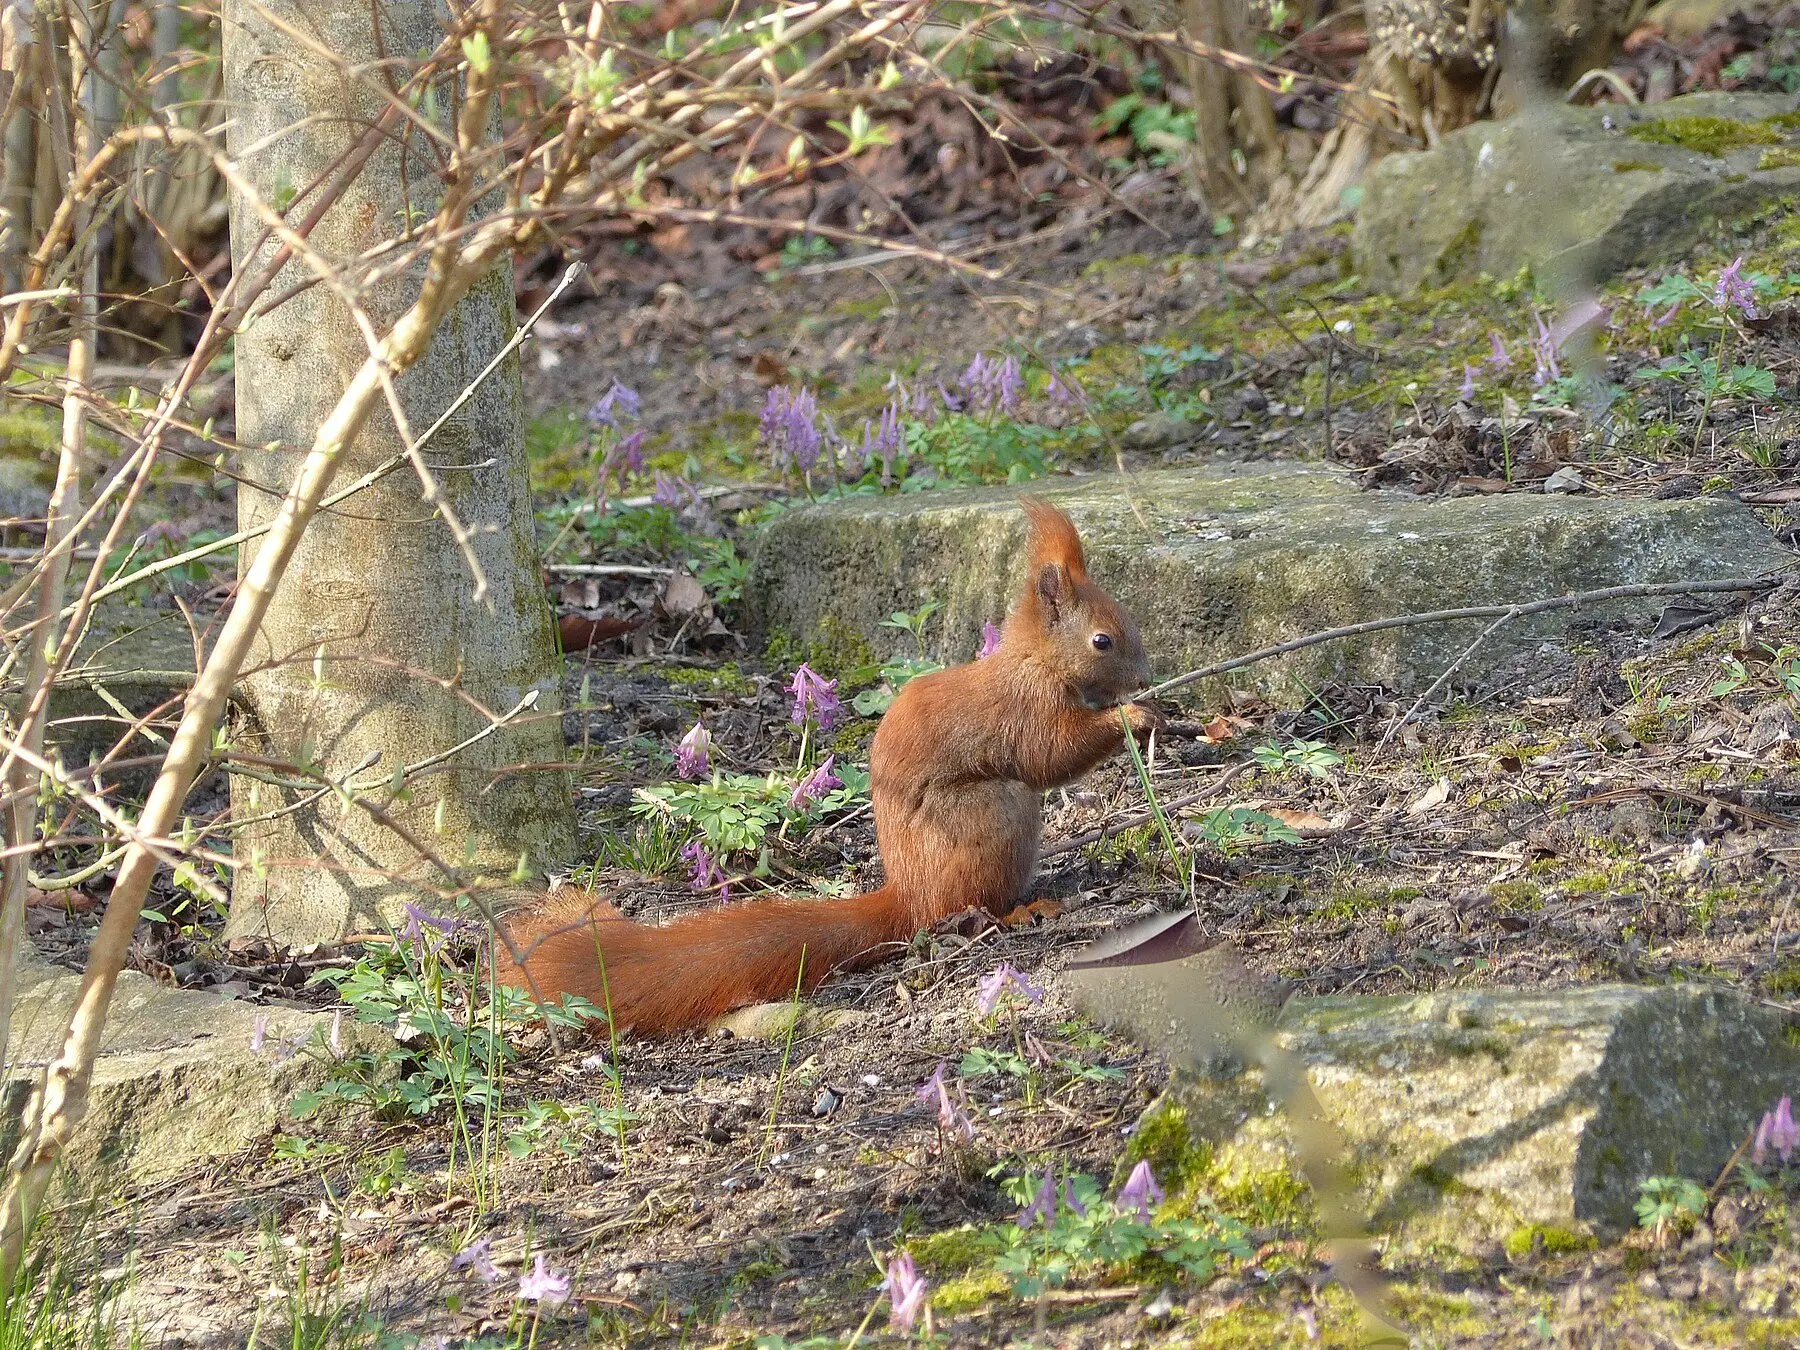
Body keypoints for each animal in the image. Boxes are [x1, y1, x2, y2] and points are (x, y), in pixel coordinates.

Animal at [494, 496, 1159, 1034]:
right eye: (1102, 640)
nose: (1144, 677)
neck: (1034, 662)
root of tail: (910, 895)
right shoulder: (1025, 711)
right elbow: (1050, 755)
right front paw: (1133, 716)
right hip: (991, 819)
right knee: (972, 908)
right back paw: (1024, 910)